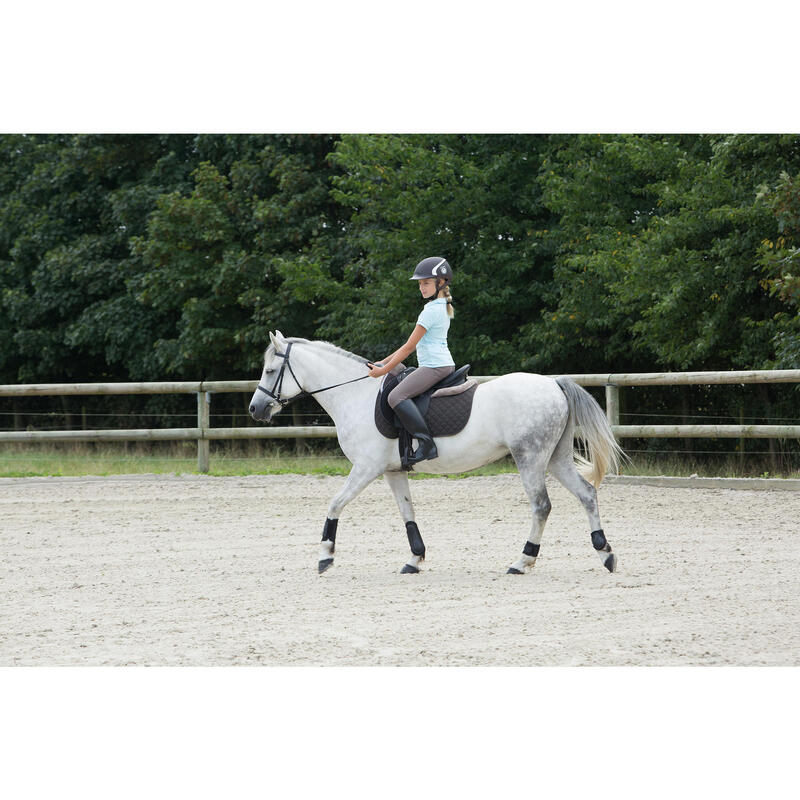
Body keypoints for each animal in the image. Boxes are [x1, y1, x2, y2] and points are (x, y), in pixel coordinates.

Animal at [250, 332, 624, 576]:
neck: (355, 394)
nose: (256, 409)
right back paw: (605, 553)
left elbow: (335, 504)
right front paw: (415, 560)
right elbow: (407, 514)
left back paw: (522, 561)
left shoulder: (367, 468)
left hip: (529, 458)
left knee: (541, 506)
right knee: (586, 494)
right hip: (555, 459)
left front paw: (326, 556)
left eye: (270, 371)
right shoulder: (392, 471)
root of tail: (553, 383)